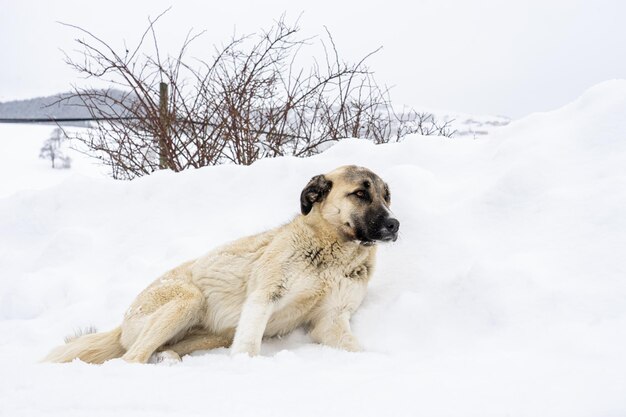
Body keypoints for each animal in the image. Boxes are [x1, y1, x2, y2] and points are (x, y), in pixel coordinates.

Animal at [44, 164, 398, 362]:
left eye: (386, 195)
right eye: (360, 194)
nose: (394, 224)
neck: (332, 253)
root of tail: (121, 324)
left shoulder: (331, 319)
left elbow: (355, 348)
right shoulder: (263, 297)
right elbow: (250, 345)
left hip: (215, 334)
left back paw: (168, 358)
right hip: (187, 299)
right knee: (131, 358)